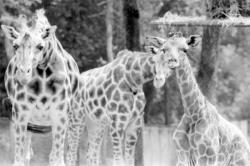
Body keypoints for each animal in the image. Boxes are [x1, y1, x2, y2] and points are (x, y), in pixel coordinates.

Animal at [1, 9, 81, 165]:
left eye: (40, 46)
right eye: (15, 45)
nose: (22, 75)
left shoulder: (60, 114)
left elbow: (56, 159)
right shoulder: (20, 113)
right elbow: (19, 158)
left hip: (71, 118)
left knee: (63, 153)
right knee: (28, 153)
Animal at [146, 33, 250, 166]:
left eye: (185, 49)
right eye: (164, 49)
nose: (172, 62)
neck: (193, 115)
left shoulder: (207, 157)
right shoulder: (182, 156)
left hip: (238, 162)